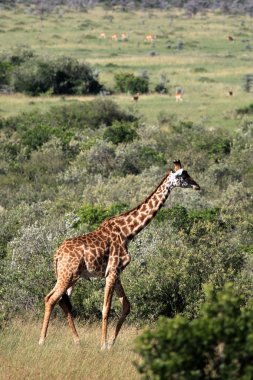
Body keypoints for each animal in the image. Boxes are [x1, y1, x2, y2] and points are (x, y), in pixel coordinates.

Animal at [39, 159, 200, 348]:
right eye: (183, 175)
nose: (197, 186)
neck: (128, 232)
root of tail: (56, 255)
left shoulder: (117, 272)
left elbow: (126, 306)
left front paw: (110, 343)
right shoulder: (112, 271)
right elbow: (106, 309)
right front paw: (103, 344)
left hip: (70, 276)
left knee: (61, 300)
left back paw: (77, 340)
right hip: (67, 274)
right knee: (51, 298)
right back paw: (42, 340)